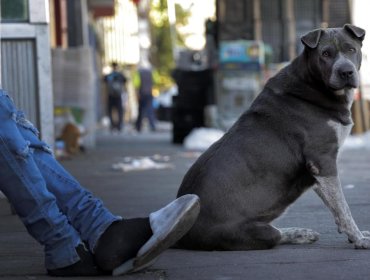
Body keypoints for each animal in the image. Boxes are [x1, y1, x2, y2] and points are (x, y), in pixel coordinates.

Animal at [176, 24, 370, 250]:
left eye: (351, 49)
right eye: (325, 54)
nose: (346, 71)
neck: (314, 85)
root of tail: (182, 233)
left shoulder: (316, 171)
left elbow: (335, 205)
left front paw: (355, 236)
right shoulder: (322, 160)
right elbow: (343, 207)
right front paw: (359, 239)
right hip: (247, 232)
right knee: (274, 235)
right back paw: (300, 233)